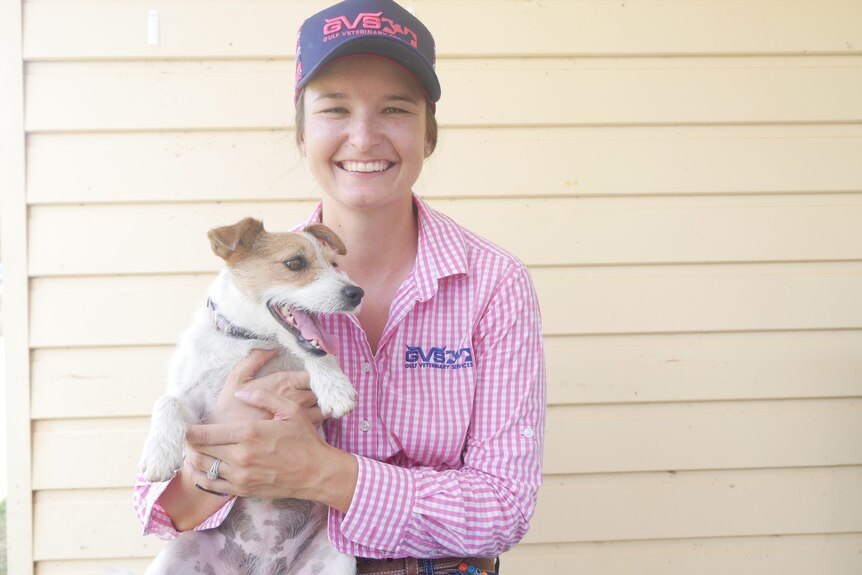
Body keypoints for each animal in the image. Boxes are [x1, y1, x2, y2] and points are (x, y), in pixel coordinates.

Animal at [141, 217, 362, 575]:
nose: (356, 293)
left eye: (335, 264)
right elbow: (168, 400)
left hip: (334, 561)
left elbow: (317, 356)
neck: (249, 341)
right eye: (295, 263)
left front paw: (335, 386)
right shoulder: (199, 408)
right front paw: (159, 454)